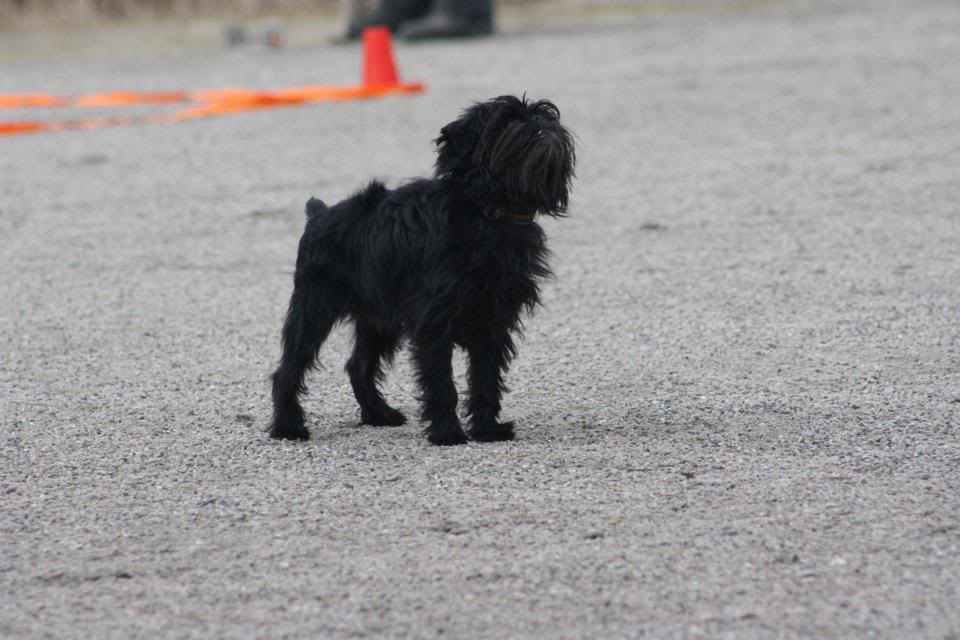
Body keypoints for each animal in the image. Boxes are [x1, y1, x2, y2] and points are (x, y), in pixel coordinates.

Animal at [266, 95, 572, 444]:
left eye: (545, 116)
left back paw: (378, 415)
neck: (488, 212)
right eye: (507, 121)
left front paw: (487, 430)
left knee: (358, 366)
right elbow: (442, 383)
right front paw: (447, 433)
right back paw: (288, 426)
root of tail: (319, 215)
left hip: (379, 321)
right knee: (289, 368)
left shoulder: (494, 320)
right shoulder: (435, 321)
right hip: (314, 308)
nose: (540, 126)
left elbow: (485, 379)